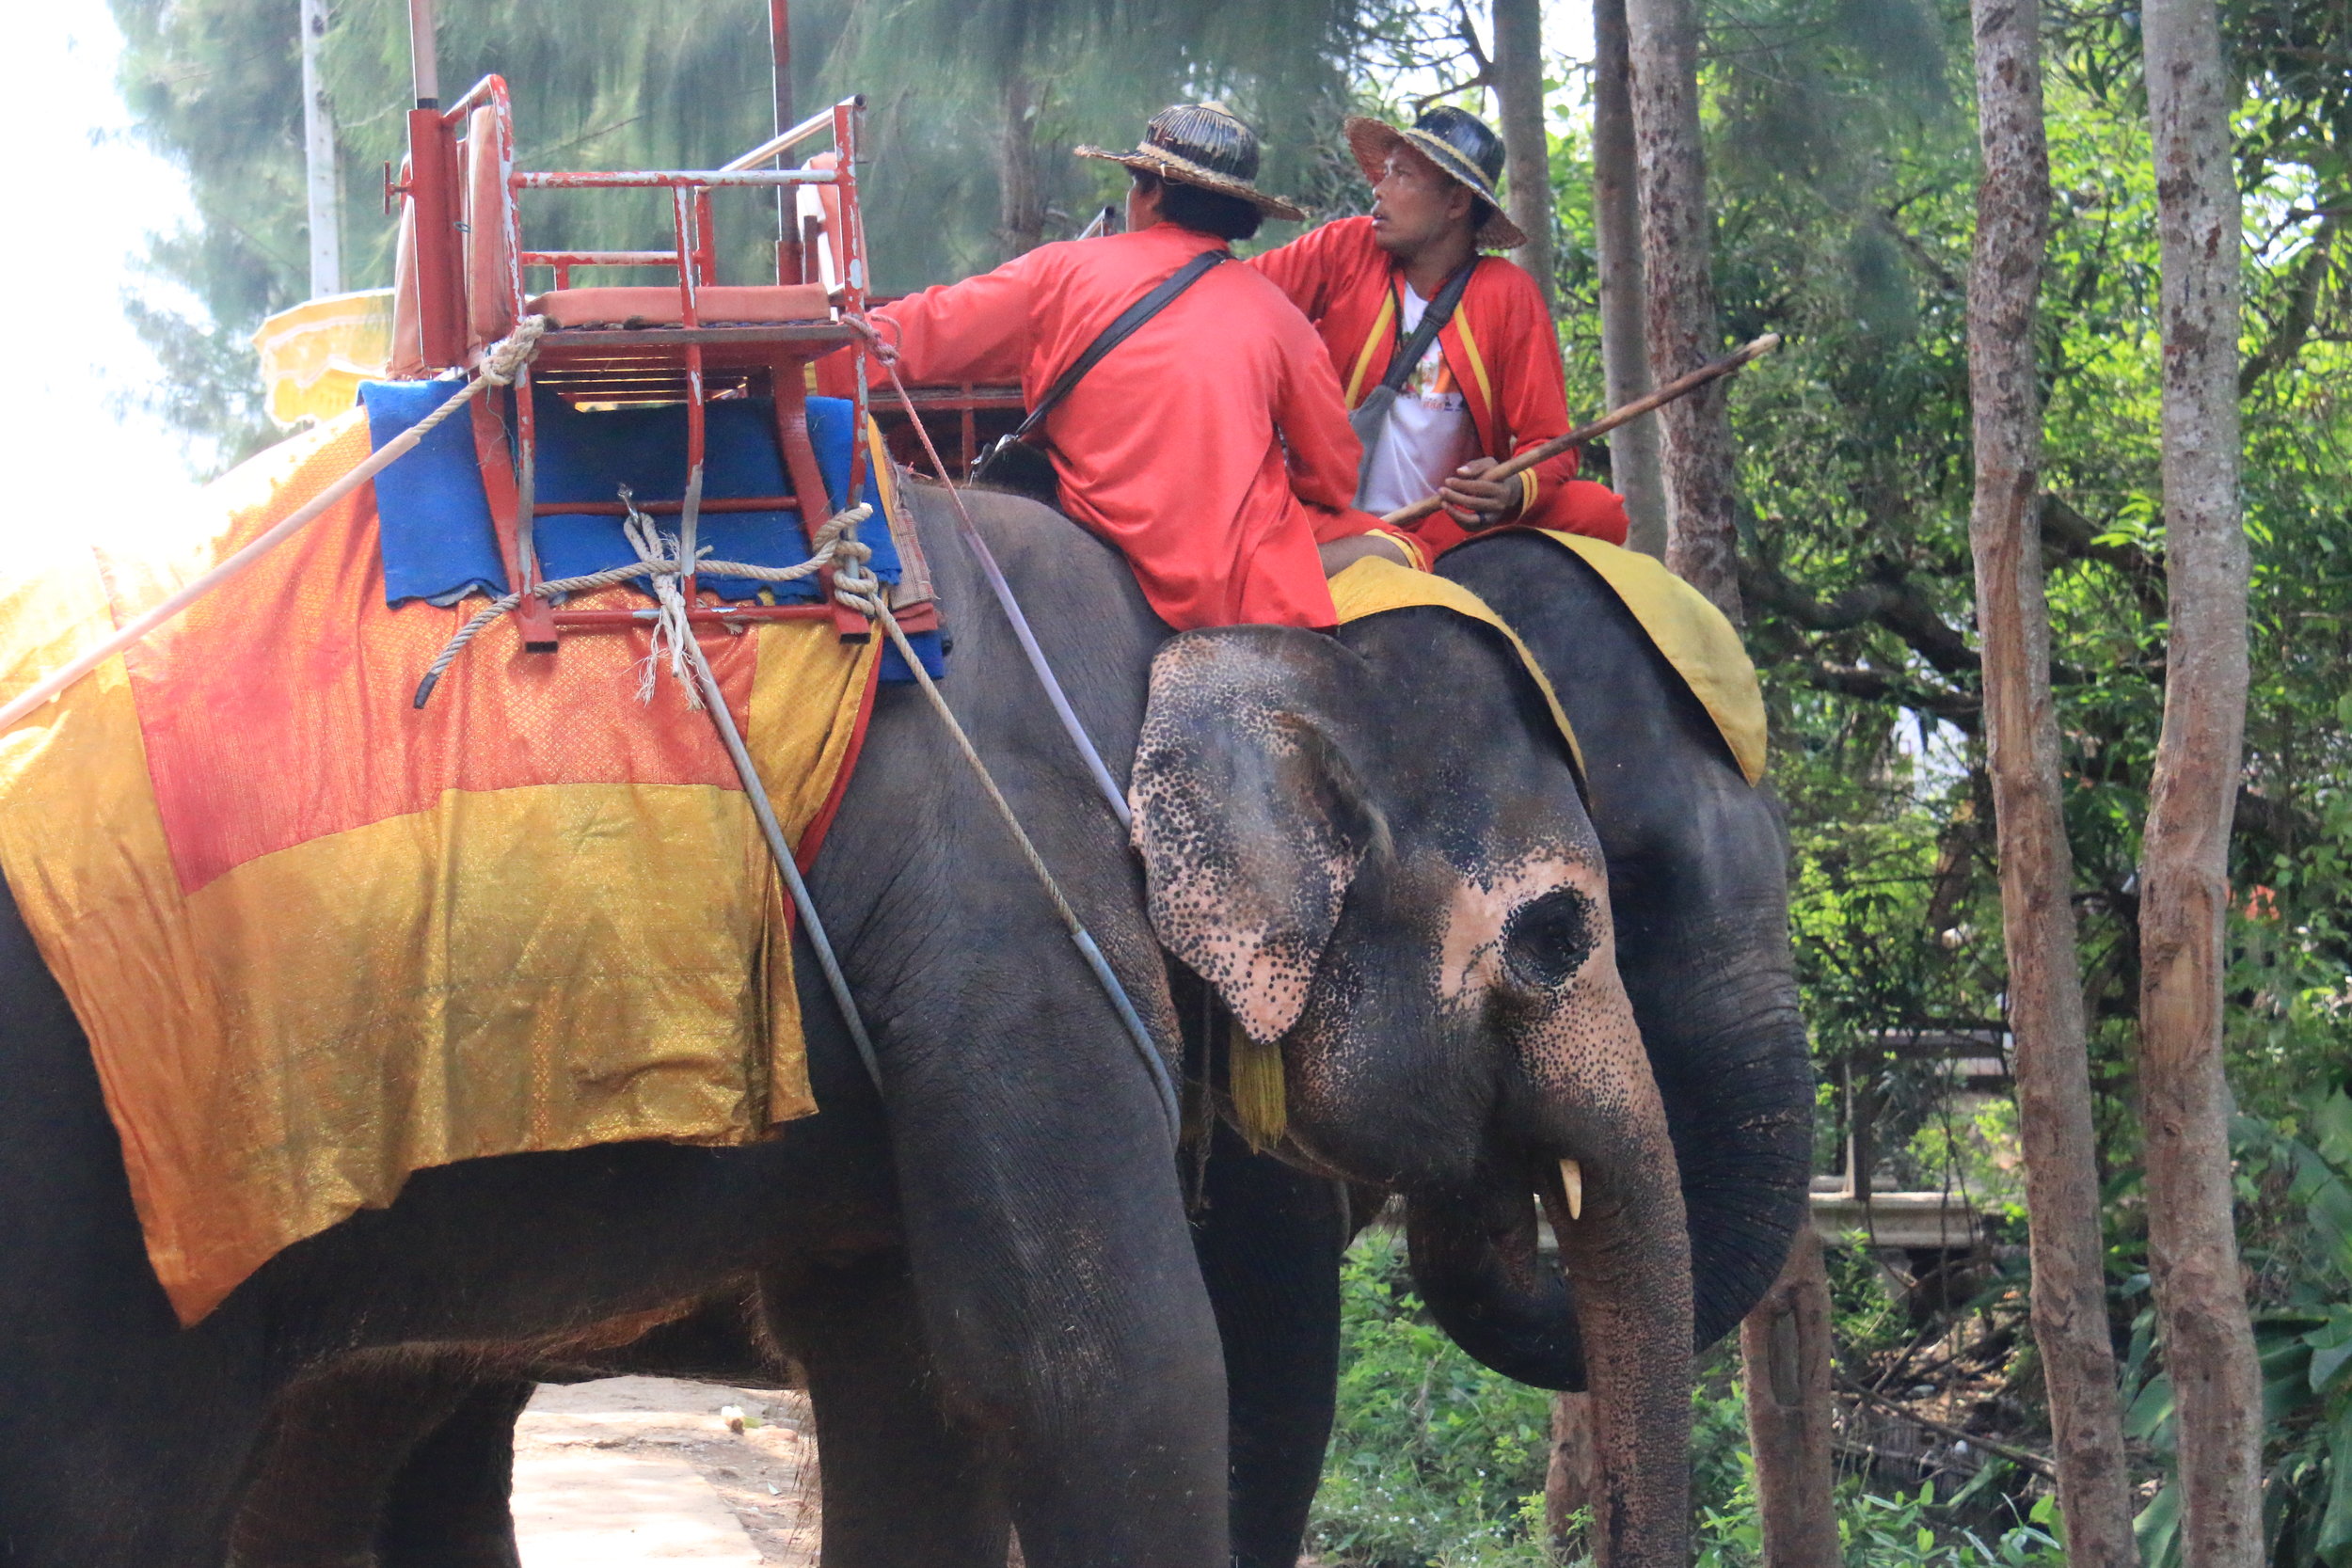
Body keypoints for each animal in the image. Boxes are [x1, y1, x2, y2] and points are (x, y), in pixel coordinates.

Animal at [0, 482, 1695, 1567]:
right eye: (1559, 935)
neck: (1164, 615)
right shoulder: (1015, 895)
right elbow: (1102, 1369)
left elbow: (912, 1389)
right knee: (111, 1484)